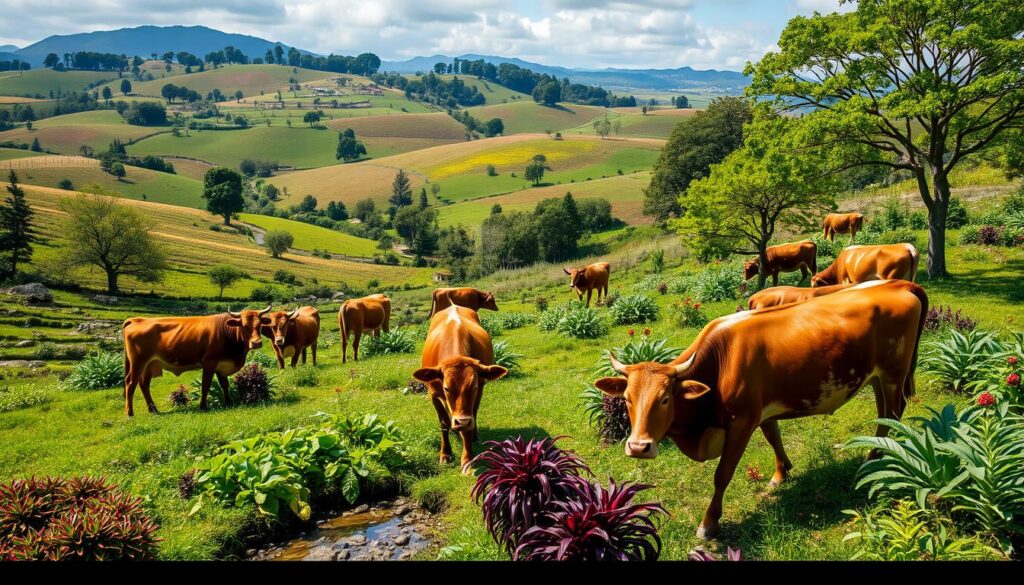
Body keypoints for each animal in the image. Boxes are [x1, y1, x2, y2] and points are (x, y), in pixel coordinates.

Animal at [122, 307, 274, 415]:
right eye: (244, 325)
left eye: (259, 325)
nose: (256, 343)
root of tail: (137, 319)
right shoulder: (209, 362)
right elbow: (205, 385)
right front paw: (203, 406)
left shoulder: (221, 364)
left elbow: (224, 384)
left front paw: (229, 402)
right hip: (138, 362)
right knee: (130, 383)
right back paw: (130, 413)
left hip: (149, 364)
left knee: (143, 384)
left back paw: (153, 409)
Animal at [411, 305, 507, 473]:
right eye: (446, 387)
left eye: (474, 386)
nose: (461, 421)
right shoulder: (433, 393)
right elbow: (443, 421)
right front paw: (446, 454)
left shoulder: (478, 392)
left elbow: (469, 422)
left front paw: (467, 459)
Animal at [593, 280, 929, 540]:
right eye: (627, 398)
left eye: (665, 399)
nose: (639, 447)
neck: (720, 362)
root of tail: (896, 284)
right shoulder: (762, 411)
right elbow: (774, 437)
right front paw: (781, 473)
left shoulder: (742, 421)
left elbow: (722, 474)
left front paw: (709, 523)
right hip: (876, 376)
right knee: (884, 412)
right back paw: (876, 451)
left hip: (893, 373)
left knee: (893, 412)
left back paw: (875, 457)